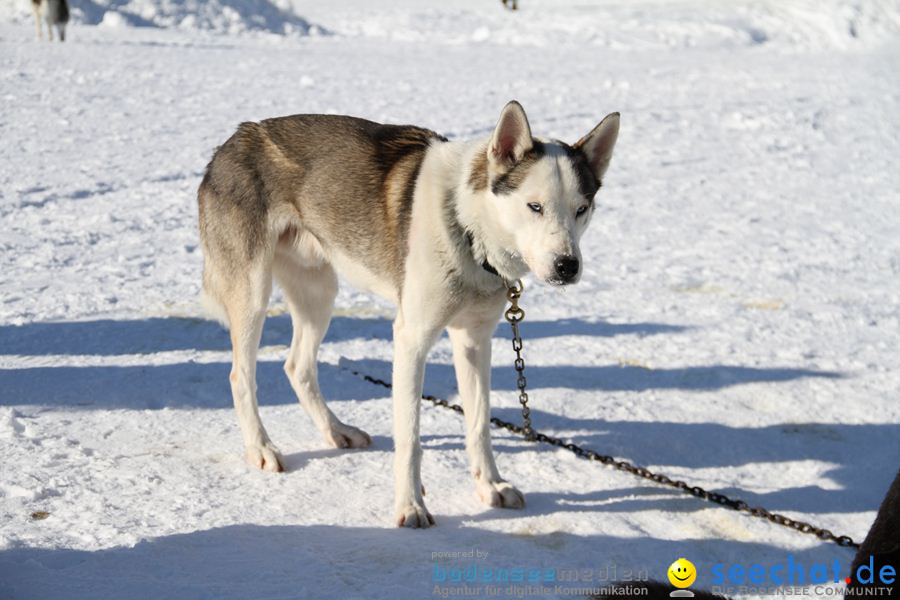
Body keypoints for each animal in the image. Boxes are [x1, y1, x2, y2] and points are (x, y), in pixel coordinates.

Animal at [197, 101, 620, 528]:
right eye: (535, 206)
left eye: (582, 209)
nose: (567, 266)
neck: (467, 227)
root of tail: (234, 138)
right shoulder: (411, 338)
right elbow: (410, 439)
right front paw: (410, 505)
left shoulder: (473, 341)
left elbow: (479, 425)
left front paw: (491, 486)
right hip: (253, 296)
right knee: (240, 376)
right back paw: (261, 447)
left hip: (319, 293)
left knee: (297, 366)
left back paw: (336, 431)